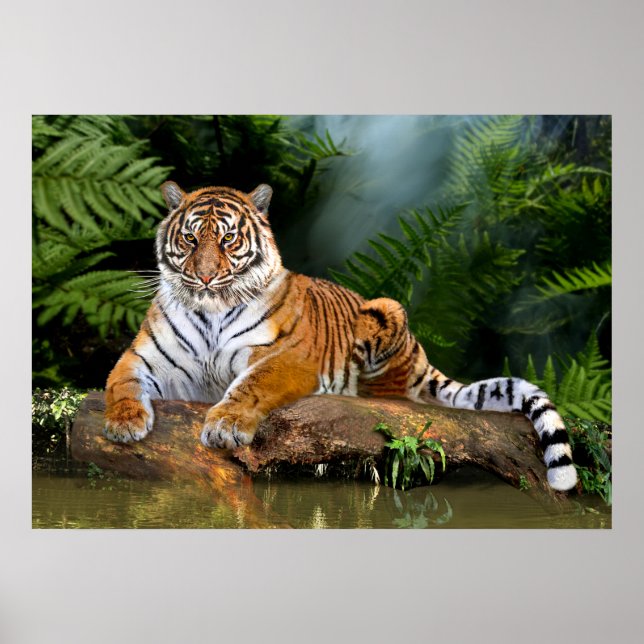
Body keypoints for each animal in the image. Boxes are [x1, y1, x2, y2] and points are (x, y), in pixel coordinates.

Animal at [104, 181, 578, 492]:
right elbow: (120, 380)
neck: (211, 311)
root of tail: (421, 354)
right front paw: (124, 423)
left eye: (228, 238)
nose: (203, 277)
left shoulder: (284, 358)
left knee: (394, 395)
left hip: (386, 309)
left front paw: (225, 425)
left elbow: (250, 385)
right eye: (188, 238)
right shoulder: (146, 357)